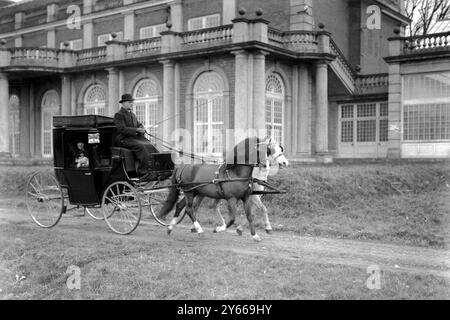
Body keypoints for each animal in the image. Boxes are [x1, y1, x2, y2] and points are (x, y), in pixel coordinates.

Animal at [156, 136, 286, 241]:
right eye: (260, 151)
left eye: (267, 151)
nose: (265, 165)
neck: (236, 173)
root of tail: (182, 167)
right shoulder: (231, 198)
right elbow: (232, 219)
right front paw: (219, 229)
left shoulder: (246, 197)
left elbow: (250, 216)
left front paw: (255, 235)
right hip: (189, 192)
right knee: (189, 209)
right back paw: (199, 230)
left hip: (194, 192)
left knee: (180, 206)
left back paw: (170, 227)